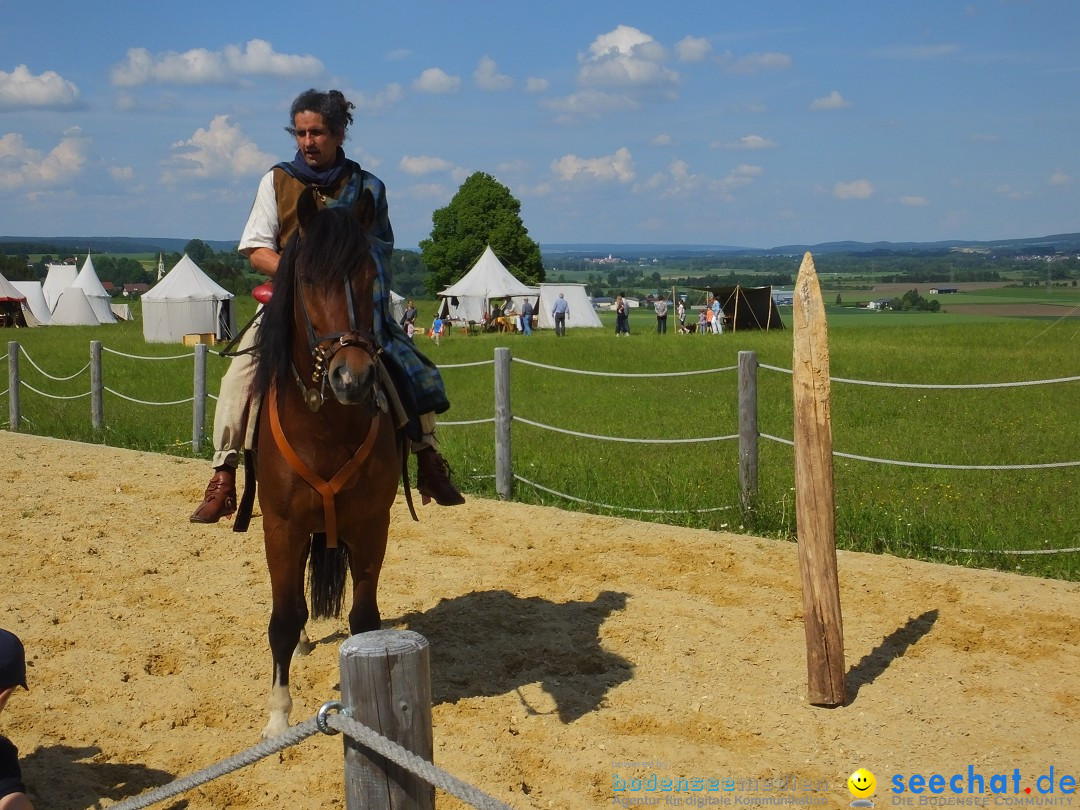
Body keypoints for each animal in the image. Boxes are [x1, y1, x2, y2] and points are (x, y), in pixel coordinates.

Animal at [249, 190, 401, 743]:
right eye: (308, 279)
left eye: (370, 276)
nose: (351, 378)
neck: (326, 430)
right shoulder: (281, 527)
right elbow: (281, 619)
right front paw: (276, 718)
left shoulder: (371, 525)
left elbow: (365, 619)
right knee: (291, 603)